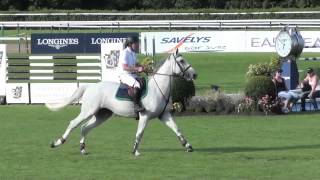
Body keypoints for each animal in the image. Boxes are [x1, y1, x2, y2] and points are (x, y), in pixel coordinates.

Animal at [47, 49, 198, 156]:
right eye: (182, 61)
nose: (194, 75)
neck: (158, 89)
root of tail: (91, 86)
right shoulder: (144, 116)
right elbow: (139, 133)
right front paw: (135, 151)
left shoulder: (164, 115)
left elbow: (177, 129)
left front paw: (188, 146)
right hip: (88, 111)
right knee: (74, 123)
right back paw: (57, 142)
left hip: (102, 115)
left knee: (85, 127)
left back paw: (82, 149)